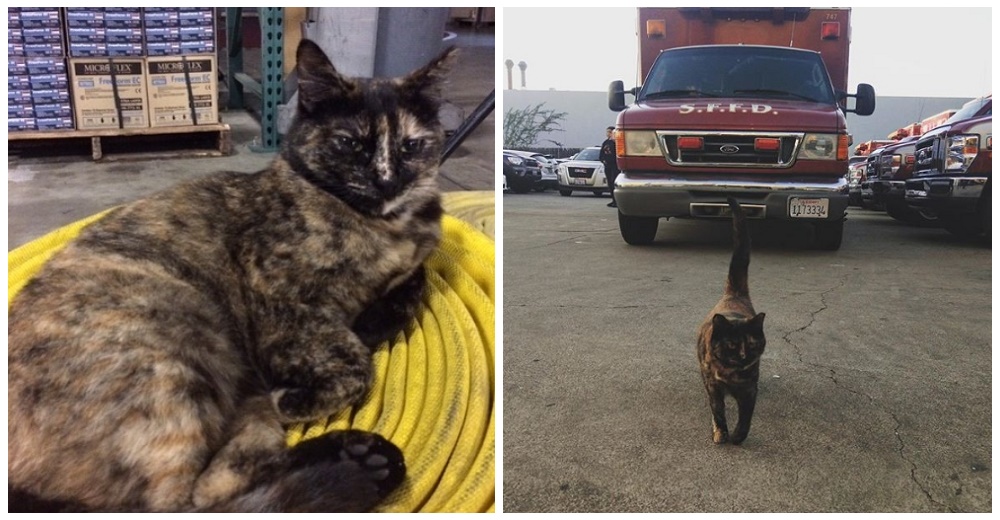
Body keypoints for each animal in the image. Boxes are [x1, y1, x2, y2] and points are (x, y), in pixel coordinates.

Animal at [6, 39, 454, 512]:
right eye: (350, 144)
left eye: (410, 146)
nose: (386, 181)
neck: (386, 226)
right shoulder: (278, 298)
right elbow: (355, 367)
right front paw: (300, 394)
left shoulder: (412, 262)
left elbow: (414, 282)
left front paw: (374, 319)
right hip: (177, 347)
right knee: (196, 500)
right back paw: (361, 463)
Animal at [700, 197, 768, 444]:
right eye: (731, 344)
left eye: (752, 344)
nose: (743, 356)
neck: (731, 374)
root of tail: (734, 295)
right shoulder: (713, 386)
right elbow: (718, 410)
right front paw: (721, 432)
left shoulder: (749, 391)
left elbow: (746, 417)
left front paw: (738, 437)